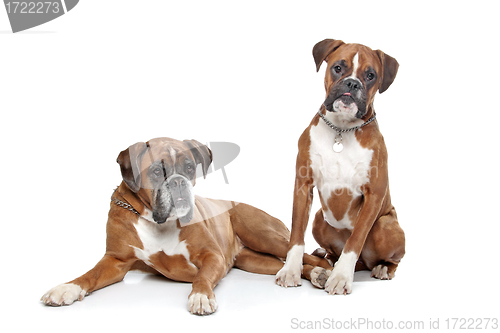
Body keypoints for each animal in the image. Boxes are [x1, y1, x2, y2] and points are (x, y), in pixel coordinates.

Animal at [41, 137, 332, 314]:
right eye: (156, 171)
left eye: (190, 167)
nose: (179, 181)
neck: (156, 220)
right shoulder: (115, 261)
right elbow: (89, 275)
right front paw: (67, 288)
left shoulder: (212, 256)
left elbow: (202, 277)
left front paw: (201, 296)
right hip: (253, 260)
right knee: (291, 265)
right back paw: (313, 275)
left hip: (264, 236)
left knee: (307, 256)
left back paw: (326, 272)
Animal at [278, 38, 406, 294]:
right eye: (338, 68)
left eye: (370, 75)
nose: (352, 83)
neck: (342, 129)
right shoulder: (303, 185)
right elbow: (296, 234)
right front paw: (290, 270)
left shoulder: (374, 195)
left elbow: (355, 240)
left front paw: (340, 277)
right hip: (319, 219)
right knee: (333, 251)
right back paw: (325, 256)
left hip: (385, 226)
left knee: (391, 258)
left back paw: (382, 268)